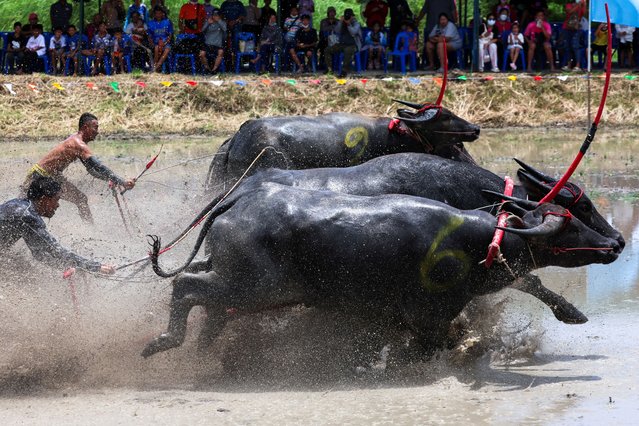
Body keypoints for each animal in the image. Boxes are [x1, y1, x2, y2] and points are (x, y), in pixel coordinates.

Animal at [144, 185, 620, 358]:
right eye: (570, 224)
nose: (614, 244)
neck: (478, 239)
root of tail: (236, 202)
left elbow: (531, 281)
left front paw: (572, 312)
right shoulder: (430, 313)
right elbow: (437, 341)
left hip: (239, 284)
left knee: (203, 298)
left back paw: (201, 345)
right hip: (251, 288)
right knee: (187, 286)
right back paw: (163, 341)